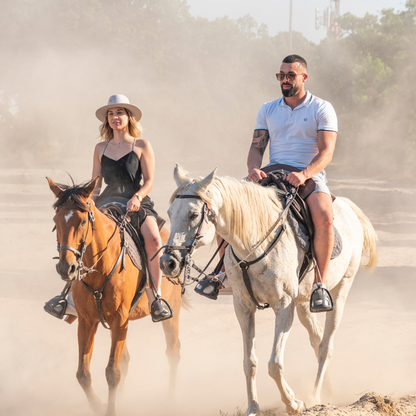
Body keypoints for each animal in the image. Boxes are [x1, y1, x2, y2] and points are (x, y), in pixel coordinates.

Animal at [46, 176, 182, 416]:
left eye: (83, 221)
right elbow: (83, 373)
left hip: (171, 310)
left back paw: (170, 400)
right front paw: (98, 405)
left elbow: (112, 372)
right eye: (56, 219)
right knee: (126, 360)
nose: (66, 268)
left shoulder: (119, 320)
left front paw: (110, 409)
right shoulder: (87, 321)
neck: (100, 267)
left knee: (173, 351)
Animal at [161, 164, 378, 414]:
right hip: (303, 304)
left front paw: (294, 403)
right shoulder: (243, 307)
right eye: (170, 213)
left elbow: (274, 364)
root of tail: (348, 206)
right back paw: (327, 393)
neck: (254, 245)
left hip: (341, 290)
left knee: (326, 346)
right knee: (317, 340)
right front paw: (253, 406)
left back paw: (314, 396)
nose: (168, 262)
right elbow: (249, 362)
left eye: (194, 215)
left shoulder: (283, 306)